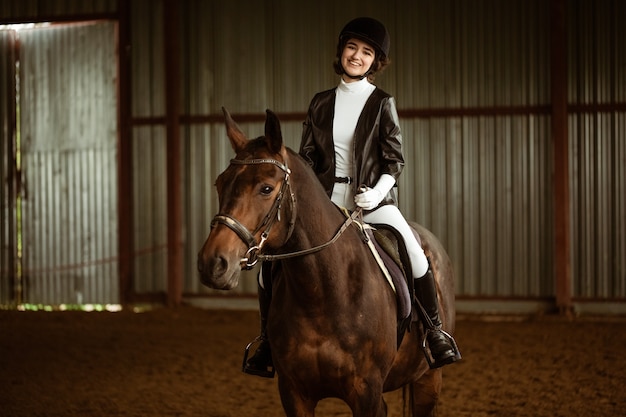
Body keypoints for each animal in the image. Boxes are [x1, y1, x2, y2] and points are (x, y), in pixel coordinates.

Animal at [197, 108, 456, 416]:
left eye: (266, 188)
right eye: (219, 183)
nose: (212, 264)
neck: (322, 292)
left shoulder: (366, 393)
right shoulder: (294, 393)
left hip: (429, 379)